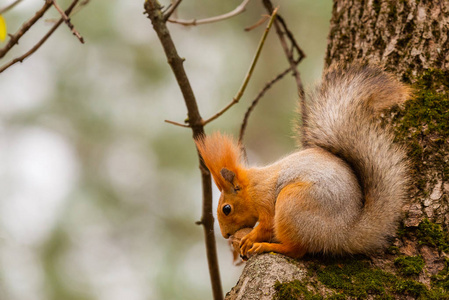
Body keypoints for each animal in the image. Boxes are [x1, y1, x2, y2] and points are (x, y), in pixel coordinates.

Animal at [195, 64, 410, 258]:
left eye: (226, 209)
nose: (225, 235)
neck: (253, 186)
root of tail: (343, 234)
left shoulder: (266, 200)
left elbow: (266, 225)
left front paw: (250, 239)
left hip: (292, 204)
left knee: (296, 250)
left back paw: (268, 246)